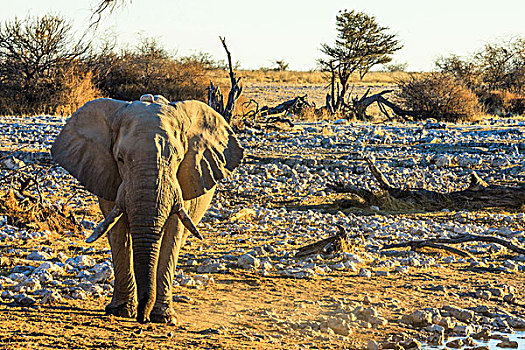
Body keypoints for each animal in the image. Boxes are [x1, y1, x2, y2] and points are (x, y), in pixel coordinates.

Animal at [51, 95, 244, 322]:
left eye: (178, 159)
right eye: (120, 159)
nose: (142, 318)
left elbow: (172, 235)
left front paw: (163, 318)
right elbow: (119, 233)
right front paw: (120, 312)